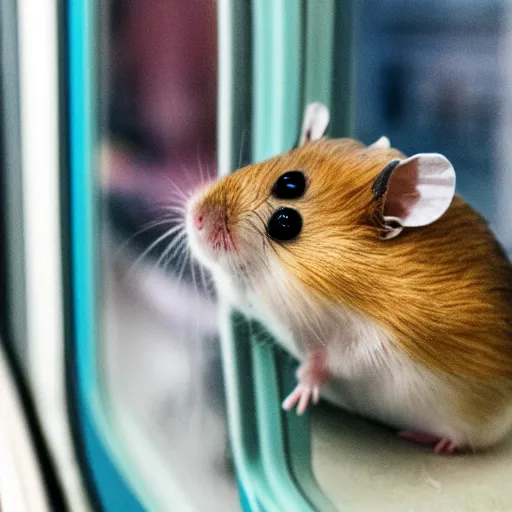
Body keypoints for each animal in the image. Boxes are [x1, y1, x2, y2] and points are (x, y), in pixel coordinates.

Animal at [186, 102, 512, 454]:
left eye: (285, 222)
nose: (194, 216)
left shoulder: (374, 343)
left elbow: (330, 360)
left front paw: (298, 396)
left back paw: (425, 439)